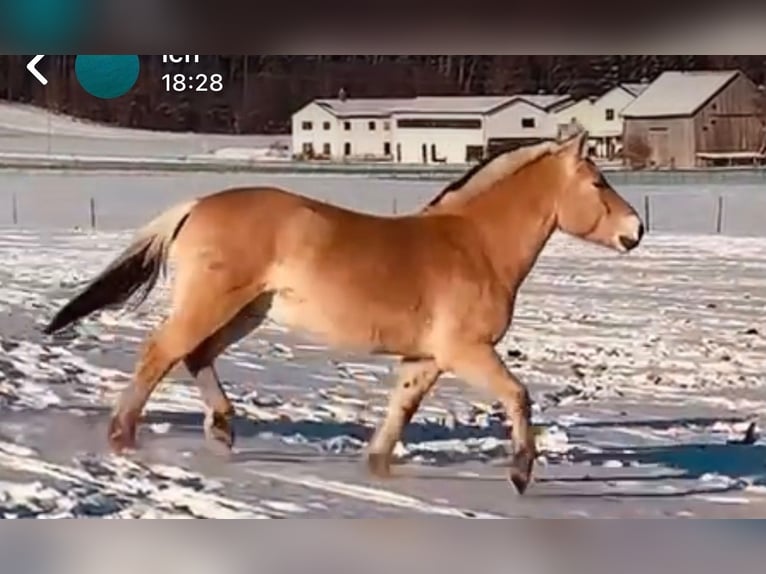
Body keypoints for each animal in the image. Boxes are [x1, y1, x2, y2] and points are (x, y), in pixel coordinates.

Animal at [40, 132, 640, 496]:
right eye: (597, 182)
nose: (635, 231)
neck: (474, 245)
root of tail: (195, 207)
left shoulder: (424, 360)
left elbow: (399, 412)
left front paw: (375, 470)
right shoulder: (465, 351)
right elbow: (517, 396)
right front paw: (519, 473)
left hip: (246, 311)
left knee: (194, 355)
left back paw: (223, 432)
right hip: (216, 301)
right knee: (161, 352)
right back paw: (124, 438)